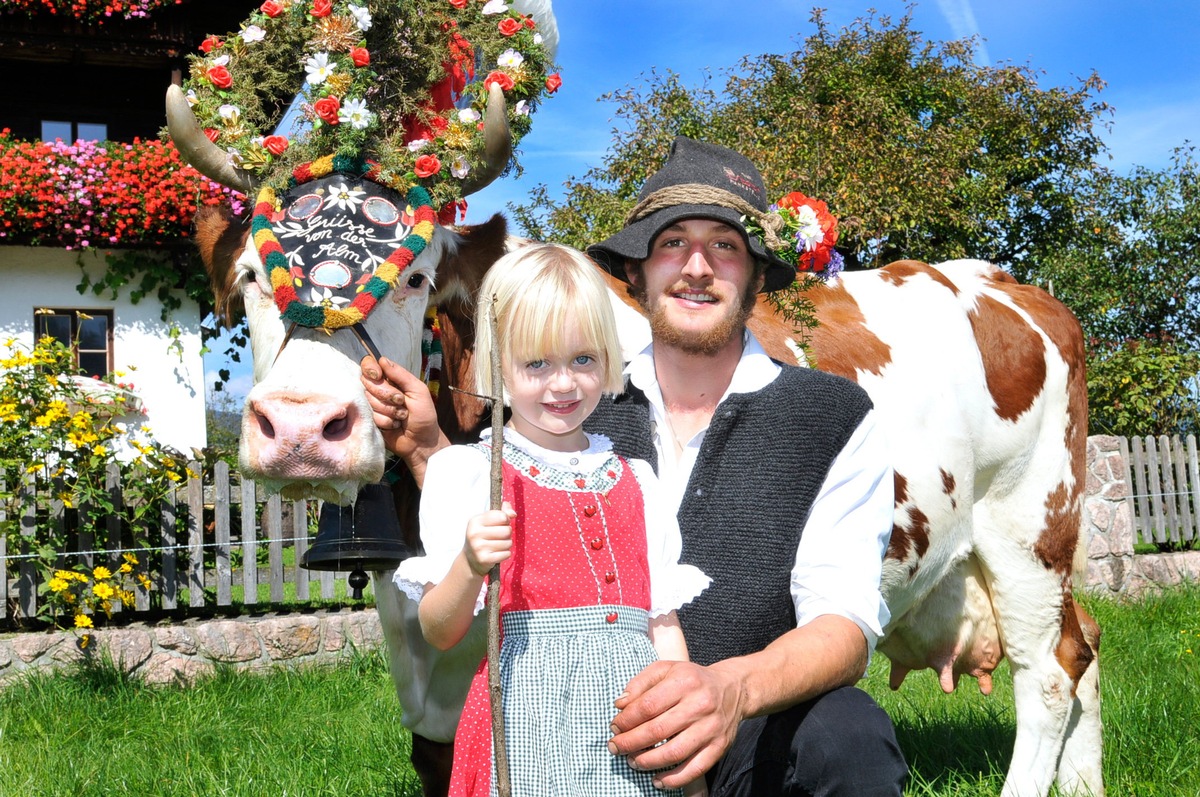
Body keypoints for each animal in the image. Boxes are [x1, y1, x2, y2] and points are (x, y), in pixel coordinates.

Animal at [171, 1, 1104, 797]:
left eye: (415, 277)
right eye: (249, 275)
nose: (301, 427)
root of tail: (1014, 288)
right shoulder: (428, 674)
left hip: (1030, 528)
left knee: (1050, 673)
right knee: (1085, 645)